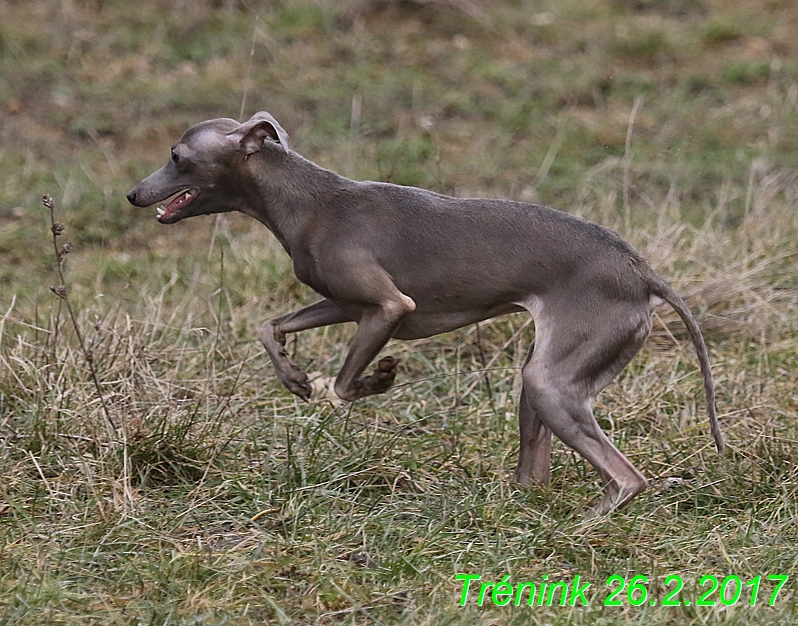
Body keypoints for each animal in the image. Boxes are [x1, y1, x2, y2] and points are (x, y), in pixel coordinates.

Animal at [126, 112, 724, 512]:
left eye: (176, 156)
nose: (133, 194)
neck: (307, 199)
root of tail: (641, 272)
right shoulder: (346, 303)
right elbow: (268, 326)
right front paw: (293, 377)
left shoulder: (389, 307)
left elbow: (343, 385)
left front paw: (380, 378)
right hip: (543, 380)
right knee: (536, 473)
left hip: (555, 379)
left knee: (627, 479)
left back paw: (586, 521)